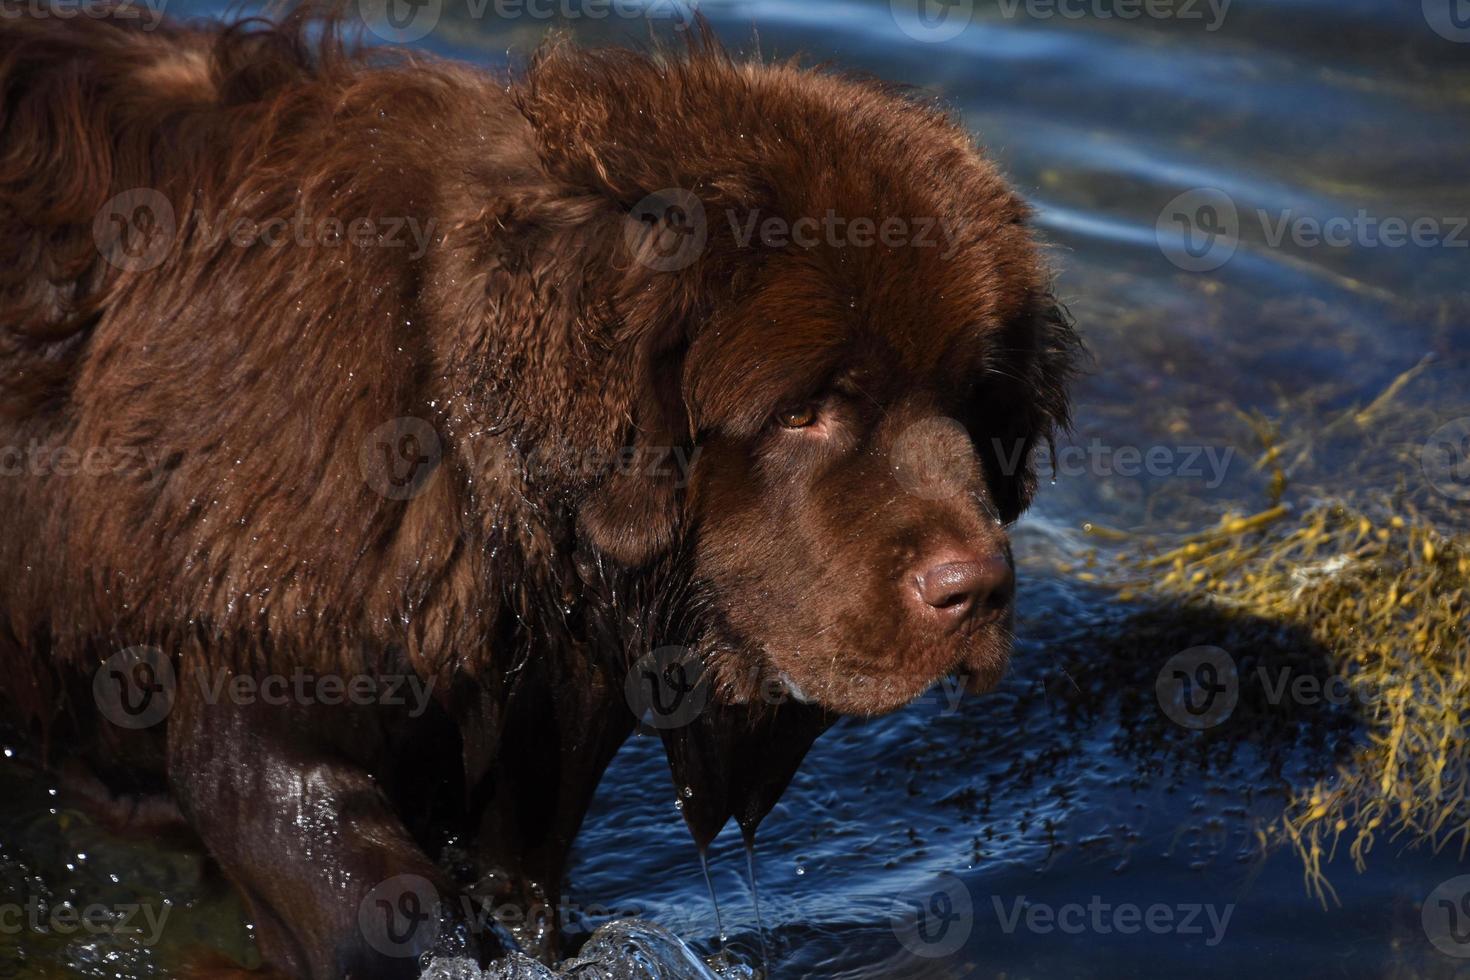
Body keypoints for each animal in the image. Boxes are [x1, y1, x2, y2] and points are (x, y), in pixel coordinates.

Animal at [0, 9, 1081, 980]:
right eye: (803, 410)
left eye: (975, 404)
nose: (976, 588)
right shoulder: (257, 676)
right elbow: (374, 901)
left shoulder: (536, 741)